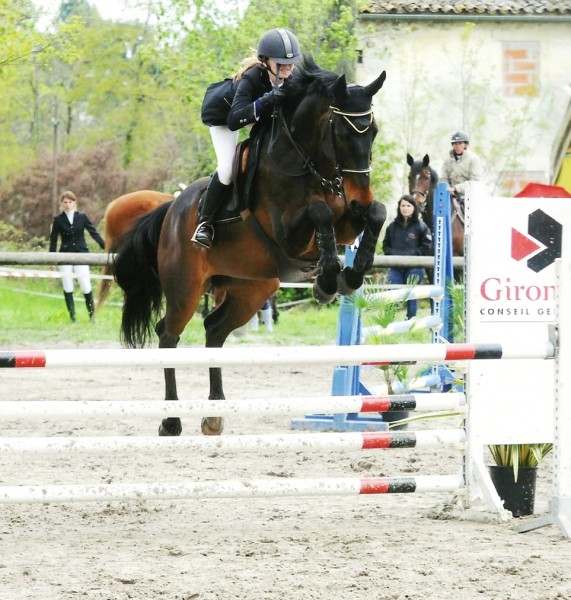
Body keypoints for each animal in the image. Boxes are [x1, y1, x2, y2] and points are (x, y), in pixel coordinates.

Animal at [113, 58, 386, 438]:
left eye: (372, 131)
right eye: (341, 132)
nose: (359, 197)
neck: (306, 162)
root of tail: (171, 208)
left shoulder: (347, 220)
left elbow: (378, 213)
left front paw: (347, 278)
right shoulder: (289, 231)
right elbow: (319, 213)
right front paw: (328, 281)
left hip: (252, 288)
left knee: (214, 330)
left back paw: (213, 414)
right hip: (185, 287)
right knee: (168, 334)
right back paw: (171, 420)